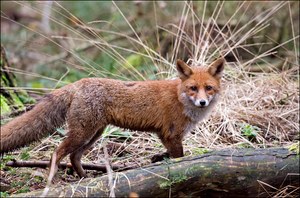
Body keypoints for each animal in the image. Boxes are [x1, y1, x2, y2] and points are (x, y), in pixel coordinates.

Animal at [0, 57, 225, 181]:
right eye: (193, 88)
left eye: (209, 88)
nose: (202, 102)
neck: (180, 98)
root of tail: (79, 83)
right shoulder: (171, 134)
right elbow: (180, 159)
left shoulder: (165, 136)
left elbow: (167, 155)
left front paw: (158, 158)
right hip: (82, 134)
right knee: (57, 152)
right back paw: (51, 181)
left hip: (93, 135)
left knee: (74, 157)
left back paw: (84, 178)